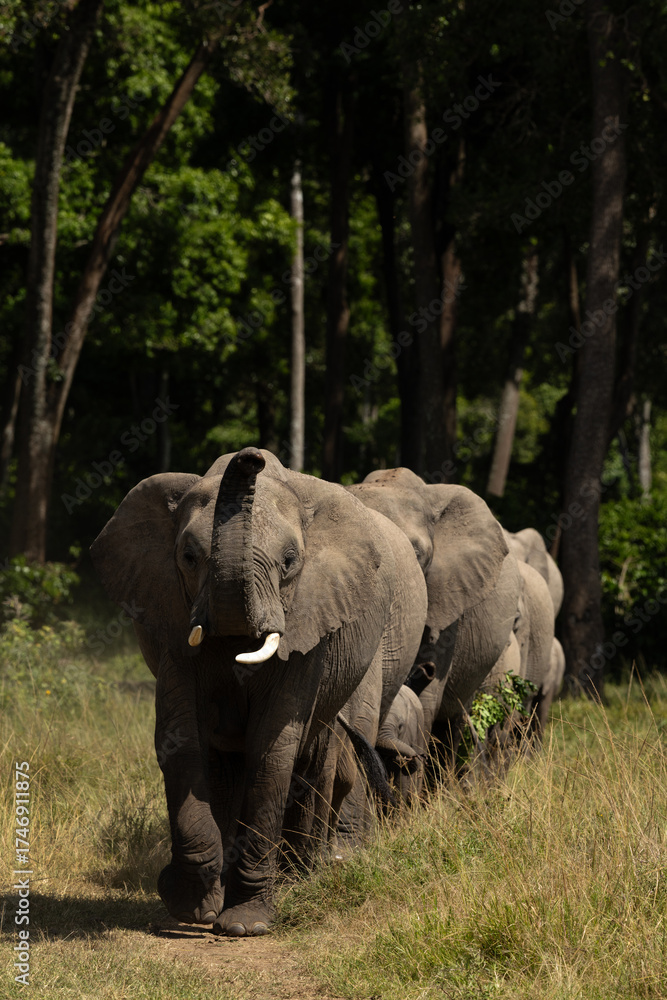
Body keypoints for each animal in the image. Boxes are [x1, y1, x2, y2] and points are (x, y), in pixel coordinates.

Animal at [90, 447, 426, 937]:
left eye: (289, 562)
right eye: (188, 557)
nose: (250, 457)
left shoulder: (308, 626)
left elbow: (271, 749)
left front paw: (245, 925)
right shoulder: (170, 618)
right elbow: (181, 740)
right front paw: (192, 906)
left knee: (316, 759)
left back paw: (304, 872)